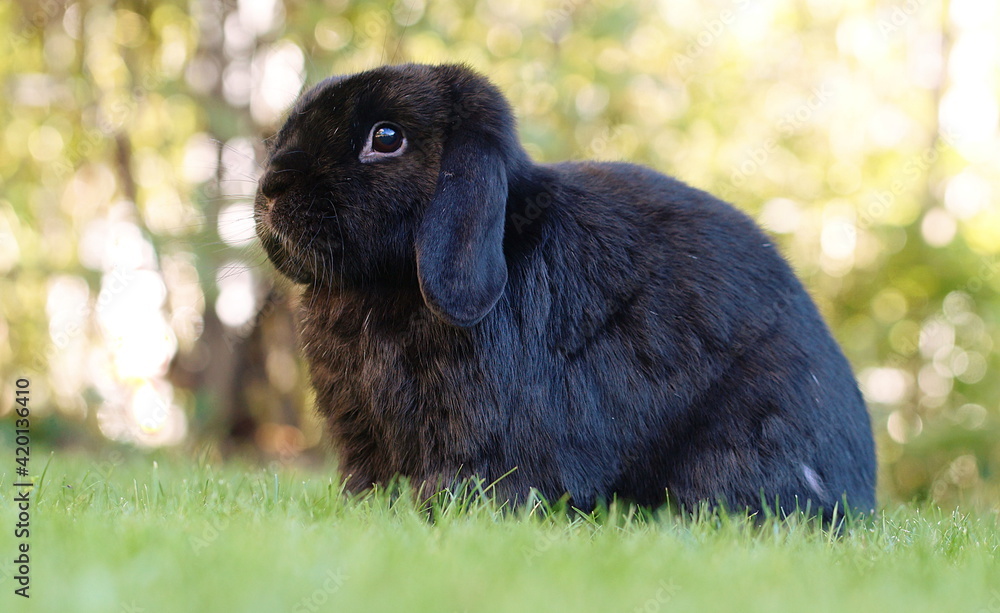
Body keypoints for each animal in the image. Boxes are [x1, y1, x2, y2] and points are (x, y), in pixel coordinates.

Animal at [254, 63, 877, 519]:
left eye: (386, 138)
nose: (271, 187)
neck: (382, 287)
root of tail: (861, 484)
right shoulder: (361, 435)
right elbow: (369, 481)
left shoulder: (480, 435)